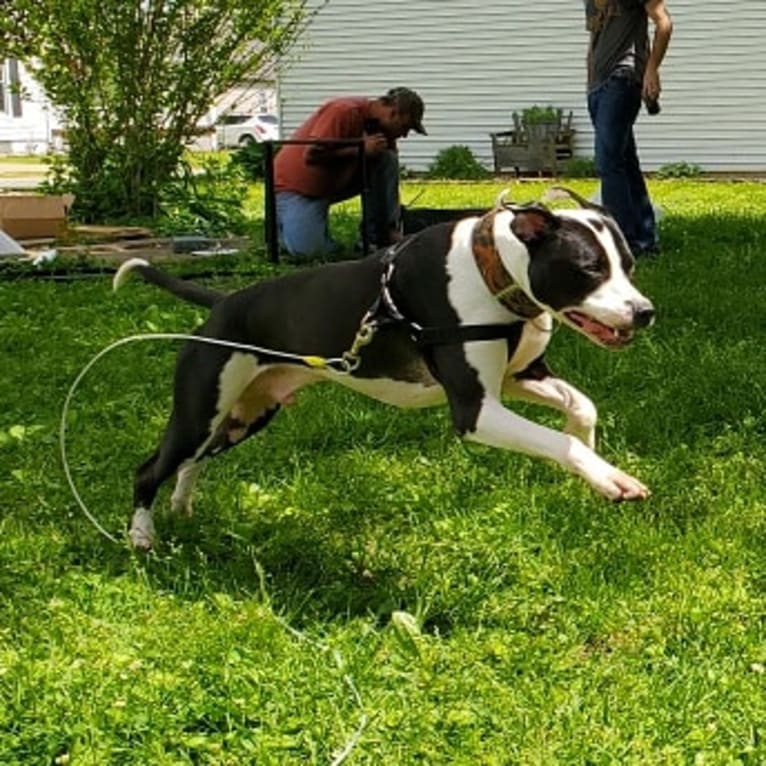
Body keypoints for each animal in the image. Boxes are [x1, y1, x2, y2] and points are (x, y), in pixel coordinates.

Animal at [112, 192, 656, 552]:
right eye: (588, 268)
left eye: (629, 264)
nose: (644, 311)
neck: (492, 268)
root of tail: (223, 304)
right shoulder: (475, 410)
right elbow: (559, 442)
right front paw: (610, 478)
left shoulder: (516, 379)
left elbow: (582, 406)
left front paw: (592, 456)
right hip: (199, 409)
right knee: (150, 468)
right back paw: (141, 536)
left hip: (247, 414)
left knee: (193, 460)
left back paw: (181, 507)